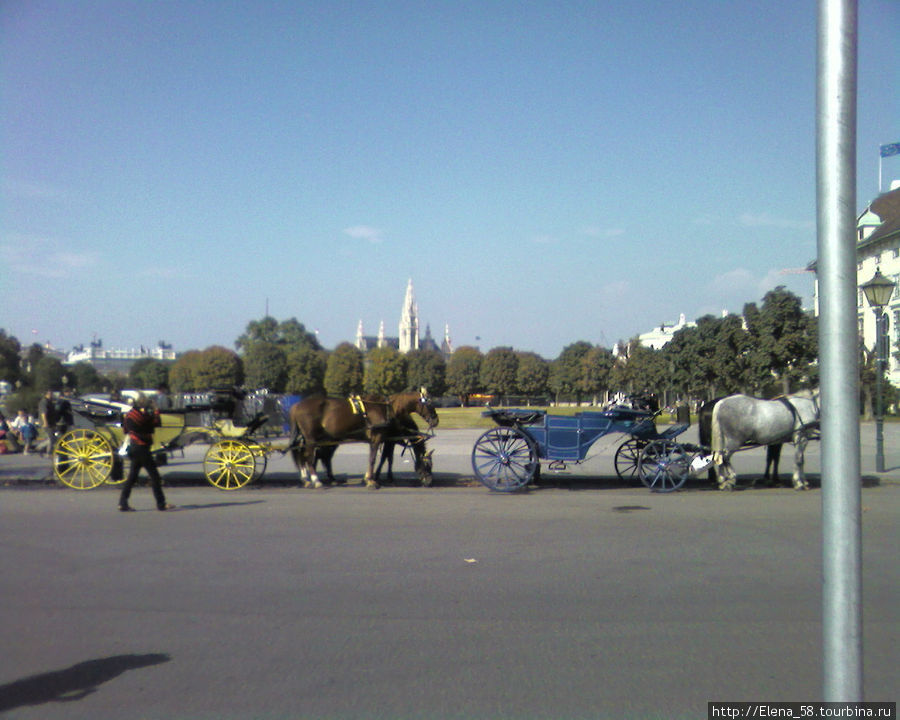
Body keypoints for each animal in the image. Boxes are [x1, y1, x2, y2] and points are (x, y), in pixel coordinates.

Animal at [288, 388, 440, 490]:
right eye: (430, 404)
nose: (429, 481)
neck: (387, 409)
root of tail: (296, 406)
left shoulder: (385, 439)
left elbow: (383, 458)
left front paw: (372, 478)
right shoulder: (379, 438)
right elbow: (375, 459)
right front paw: (372, 480)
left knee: (310, 456)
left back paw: (309, 479)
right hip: (311, 438)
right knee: (309, 457)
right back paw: (315, 480)